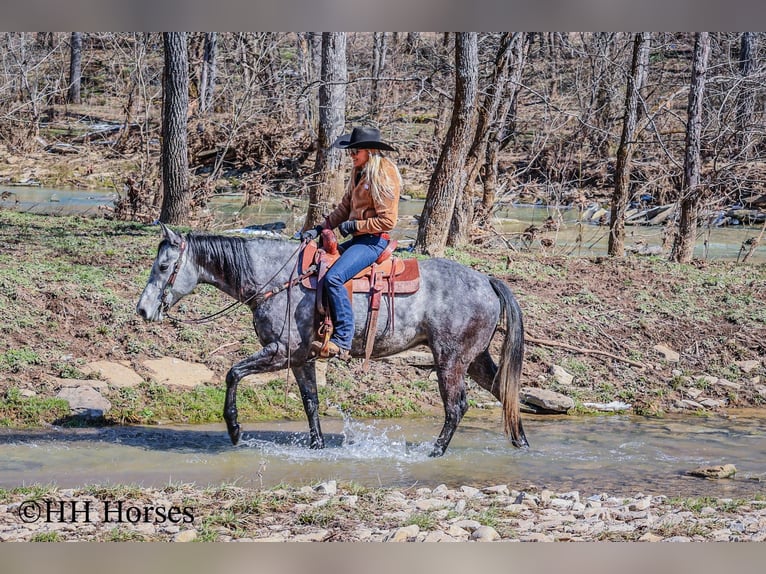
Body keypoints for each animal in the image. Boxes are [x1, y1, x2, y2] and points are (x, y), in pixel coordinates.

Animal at [136, 224, 528, 457]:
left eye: (163, 267)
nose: (142, 309)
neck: (277, 280)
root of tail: (487, 280)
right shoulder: (300, 359)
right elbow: (310, 401)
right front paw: (317, 445)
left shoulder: (280, 352)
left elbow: (233, 373)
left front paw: (233, 429)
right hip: (475, 359)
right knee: (504, 390)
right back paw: (520, 442)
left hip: (450, 359)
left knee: (456, 406)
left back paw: (435, 451)